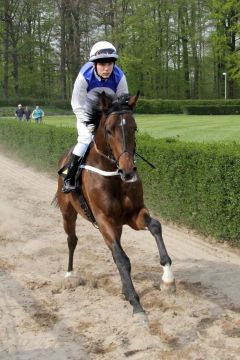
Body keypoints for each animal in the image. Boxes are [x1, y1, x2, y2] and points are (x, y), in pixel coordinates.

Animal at [53, 91, 175, 320]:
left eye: (134, 127)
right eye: (109, 130)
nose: (128, 171)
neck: (114, 176)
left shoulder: (133, 215)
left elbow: (155, 226)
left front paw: (167, 278)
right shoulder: (104, 220)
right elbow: (122, 258)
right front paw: (137, 304)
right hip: (68, 212)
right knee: (72, 240)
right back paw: (70, 274)